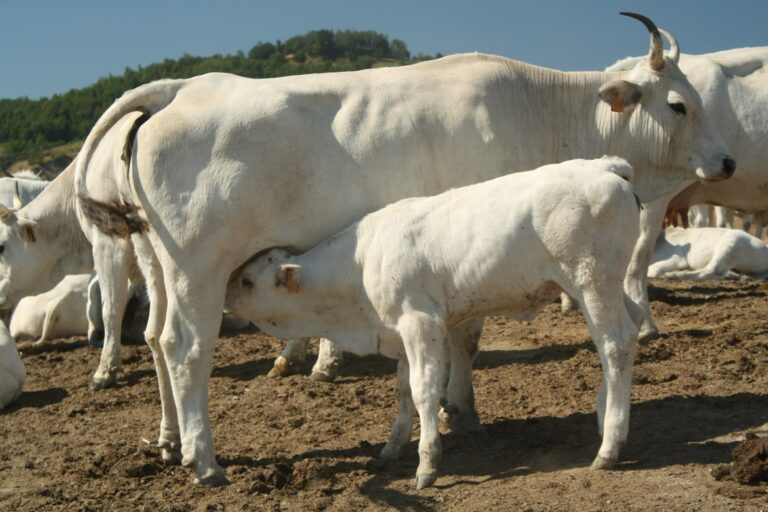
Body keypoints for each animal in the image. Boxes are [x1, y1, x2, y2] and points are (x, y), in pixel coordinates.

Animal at [226, 158, 640, 490]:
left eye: (247, 281)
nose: (225, 295)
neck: (360, 265)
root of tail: (604, 166)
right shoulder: (398, 332)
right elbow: (402, 390)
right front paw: (392, 446)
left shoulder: (420, 324)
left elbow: (423, 389)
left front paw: (427, 464)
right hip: (606, 286)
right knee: (629, 333)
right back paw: (605, 418)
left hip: (592, 282)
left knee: (614, 345)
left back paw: (609, 446)